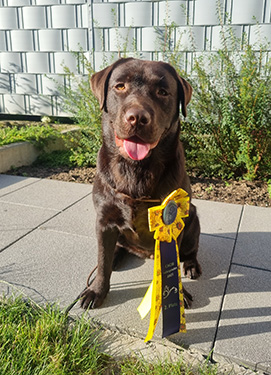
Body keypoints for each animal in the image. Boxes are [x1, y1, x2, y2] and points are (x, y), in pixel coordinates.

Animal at [81, 58, 202, 310]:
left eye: (163, 92)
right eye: (120, 86)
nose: (137, 117)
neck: (136, 169)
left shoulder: (174, 225)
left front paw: (178, 294)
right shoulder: (103, 220)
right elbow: (102, 259)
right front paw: (96, 290)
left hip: (193, 217)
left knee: (191, 250)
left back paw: (191, 265)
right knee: (114, 250)